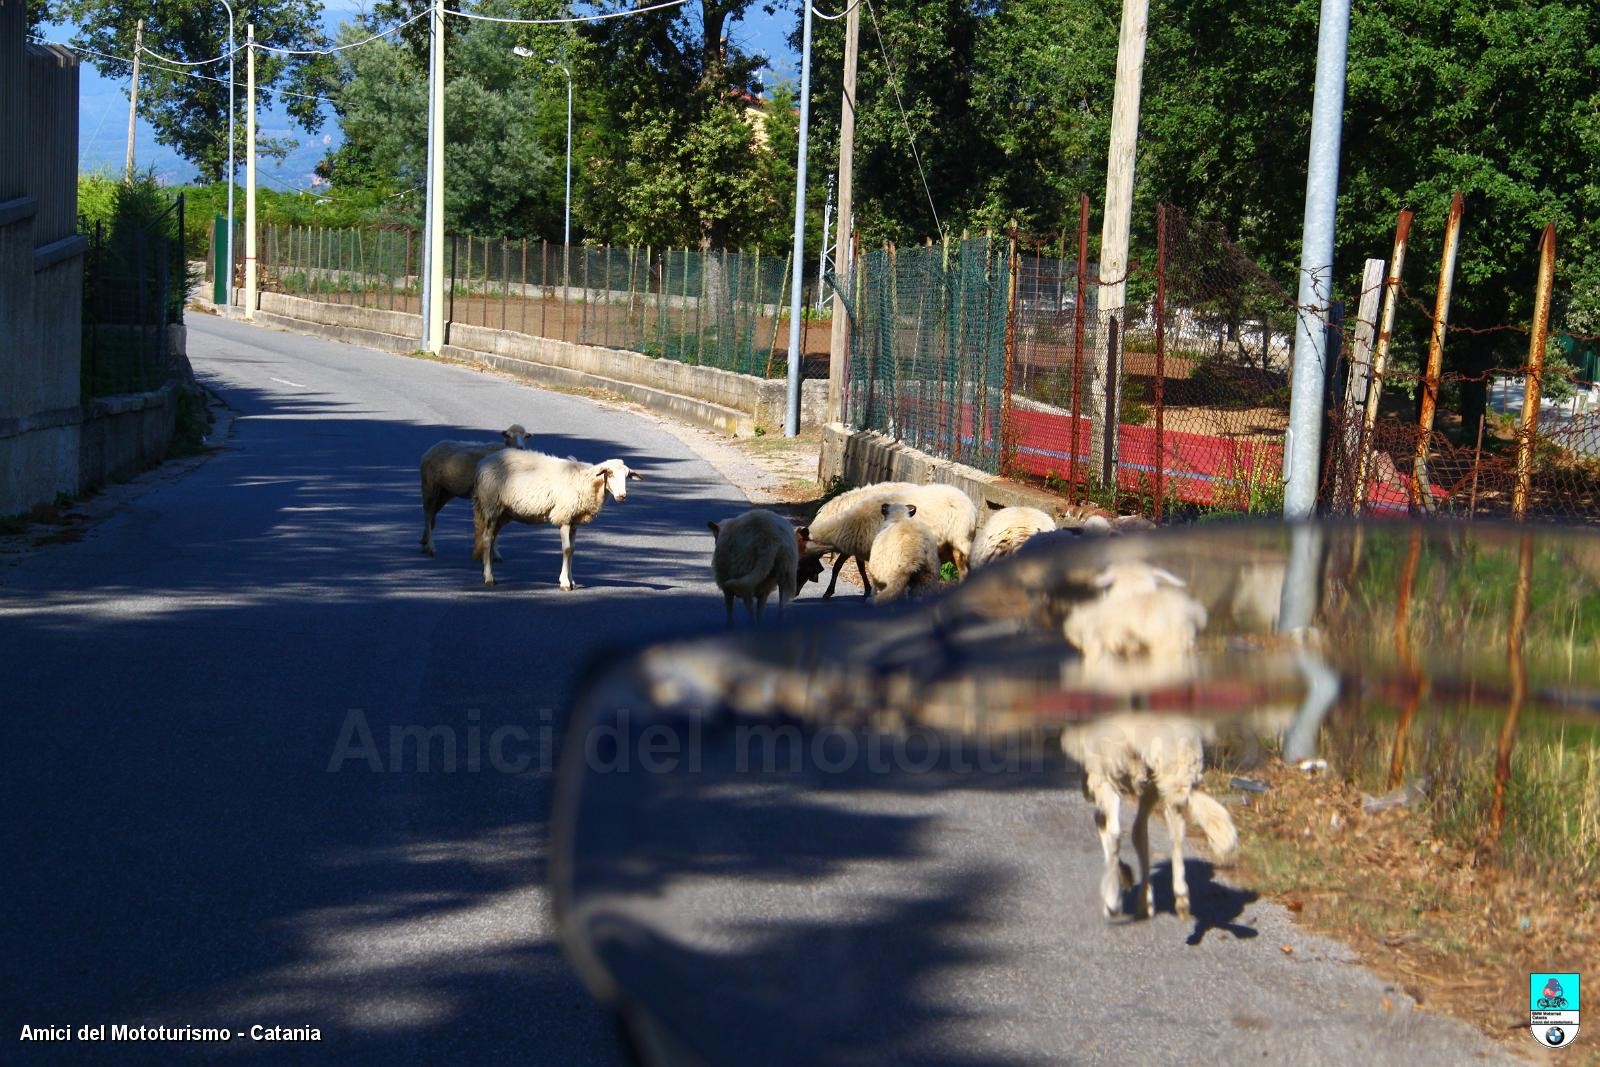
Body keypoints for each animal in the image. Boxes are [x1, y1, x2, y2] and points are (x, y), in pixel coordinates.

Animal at [419, 425, 531, 559]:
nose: (520, 448)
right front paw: (492, 553)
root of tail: (431, 450)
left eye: (525, 437)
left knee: (432, 514)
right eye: (508, 436)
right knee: (428, 515)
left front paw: (495, 553)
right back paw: (431, 547)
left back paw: (424, 542)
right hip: (429, 486)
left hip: (445, 492)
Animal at [470, 447, 640, 588]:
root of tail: (482, 464)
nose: (622, 496)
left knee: (491, 538)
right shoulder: (564, 517)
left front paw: (572, 581)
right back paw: (489, 577)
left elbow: (573, 550)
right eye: (609, 474)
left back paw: (488, 570)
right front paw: (564, 583)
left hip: (503, 513)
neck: (586, 481)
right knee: (487, 539)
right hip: (491, 506)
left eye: (627, 476)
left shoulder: (574, 522)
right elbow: (566, 549)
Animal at [1062, 713, 1235, 921]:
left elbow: (1107, 824)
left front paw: (1126, 881)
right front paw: (1144, 897)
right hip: (1172, 772)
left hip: (1112, 771)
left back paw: (1114, 901)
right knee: (1174, 831)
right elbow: (1138, 833)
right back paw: (1180, 899)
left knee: (1114, 831)